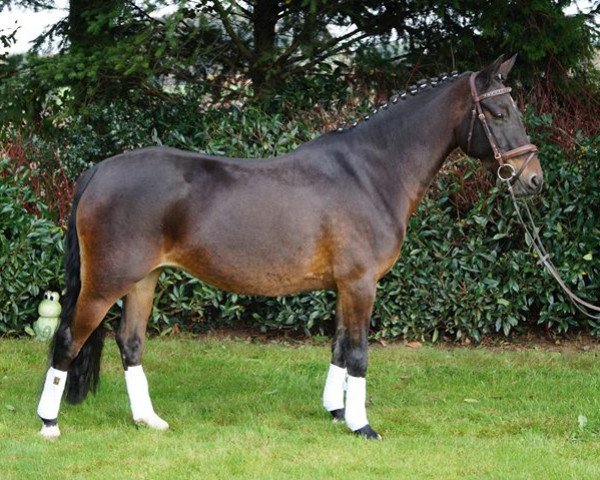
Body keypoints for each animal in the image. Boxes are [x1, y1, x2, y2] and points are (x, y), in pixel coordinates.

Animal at [37, 53, 544, 438]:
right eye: (498, 113)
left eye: (513, 110)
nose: (533, 180)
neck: (371, 171)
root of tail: (100, 170)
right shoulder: (361, 284)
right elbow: (358, 353)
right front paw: (362, 426)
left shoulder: (345, 286)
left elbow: (339, 347)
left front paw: (337, 412)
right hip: (106, 283)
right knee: (68, 340)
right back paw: (49, 423)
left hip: (144, 280)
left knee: (131, 342)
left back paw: (149, 420)